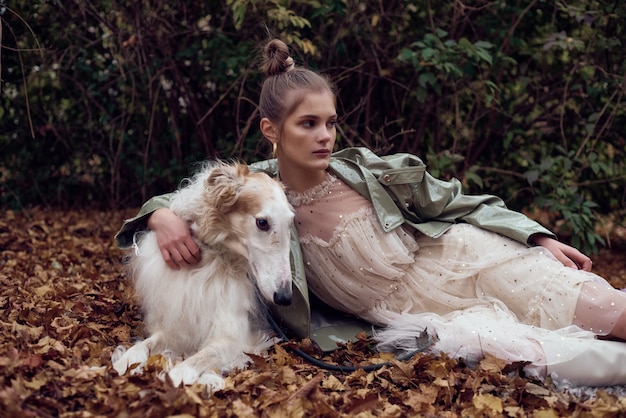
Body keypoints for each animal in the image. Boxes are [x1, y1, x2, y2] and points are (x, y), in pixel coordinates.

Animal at [111, 162, 292, 390]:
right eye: (262, 222)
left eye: (290, 225)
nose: (285, 297)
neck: (212, 257)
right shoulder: (176, 327)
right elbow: (142, 346)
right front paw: (119, 365)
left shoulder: (234, 338)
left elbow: (192, 361)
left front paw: (172, 378)